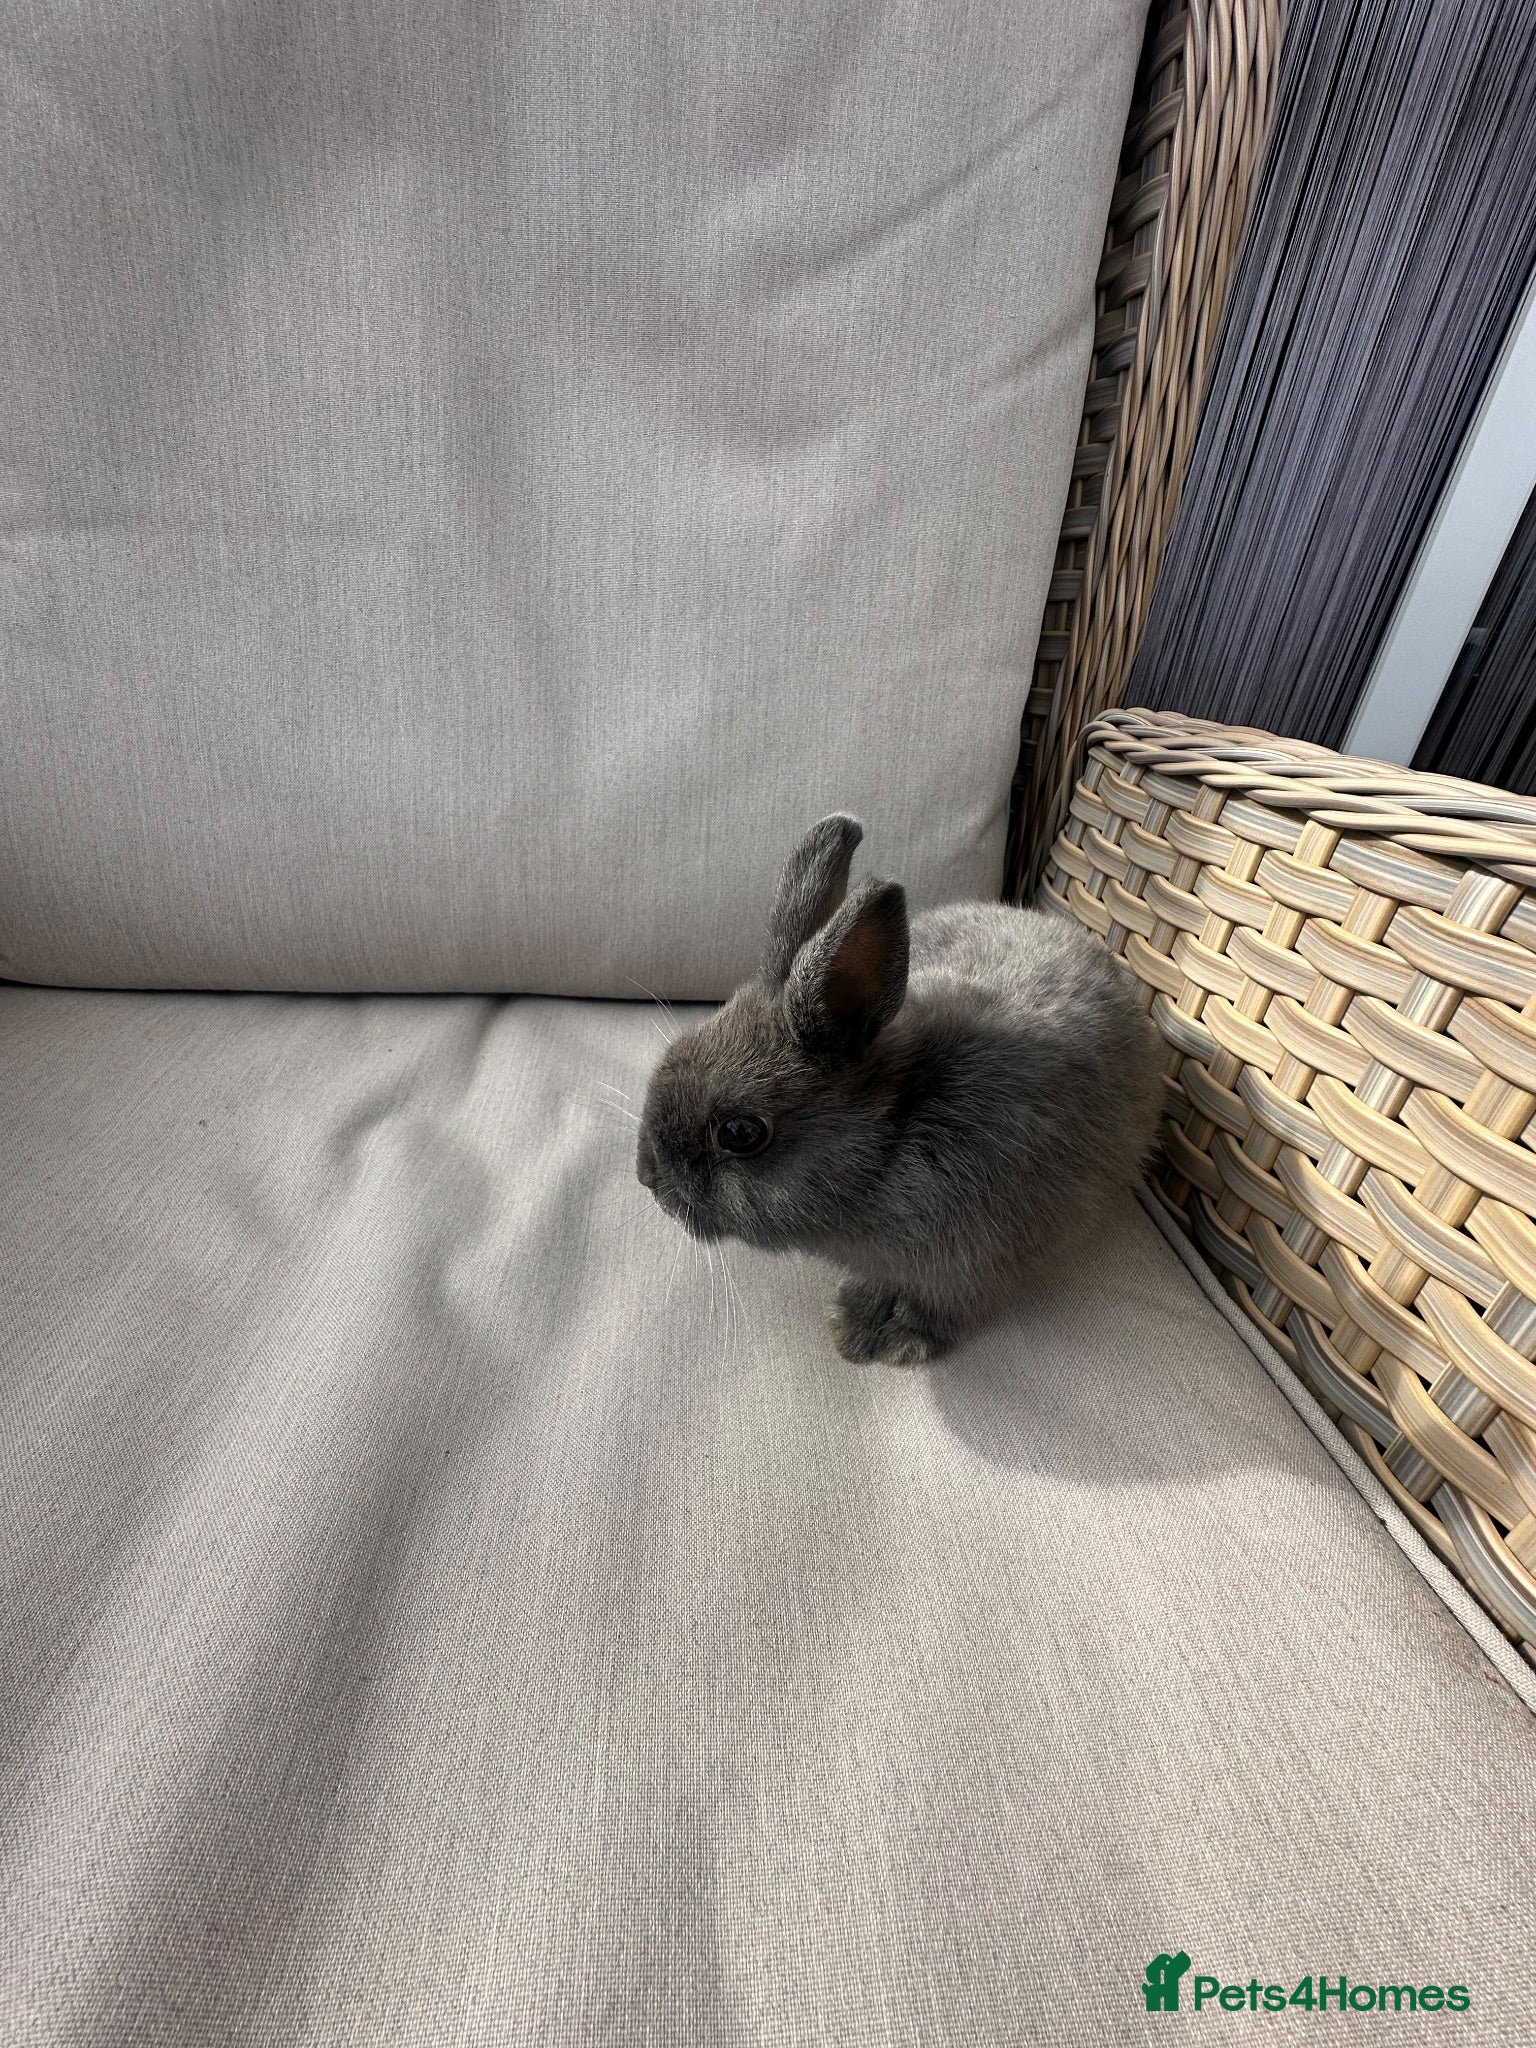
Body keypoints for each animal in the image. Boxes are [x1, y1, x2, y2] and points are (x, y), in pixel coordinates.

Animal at [635, 813, 1166, 1364]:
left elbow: (938, 1303)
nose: (648, 1180)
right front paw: (855, 1326)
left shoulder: (969, 1266)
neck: (892, 1137)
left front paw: (895, 1342)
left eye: (740, 1133)